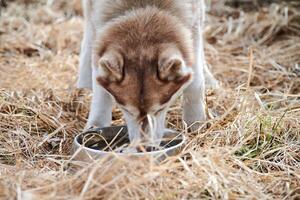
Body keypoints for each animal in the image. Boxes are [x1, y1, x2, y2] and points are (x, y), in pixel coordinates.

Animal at [77, 0, 218, 146]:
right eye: (127, 110)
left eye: (160, 109)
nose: (143, 147)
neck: (143, 8)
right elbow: (100, 92)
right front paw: (96, 125)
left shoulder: (194, 19)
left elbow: (195, 83)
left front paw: (196, 121)